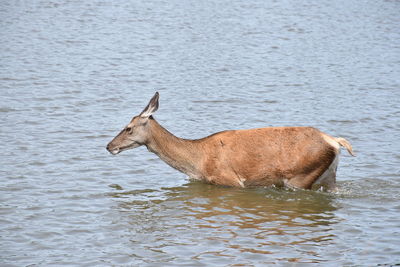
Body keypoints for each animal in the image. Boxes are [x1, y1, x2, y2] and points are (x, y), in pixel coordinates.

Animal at [105, 92, 354, 193]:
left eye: (128, 128)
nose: (109, 146)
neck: (197, 161)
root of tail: (334, 141)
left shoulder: (230, 180)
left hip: (300, 177)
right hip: (329, 177)